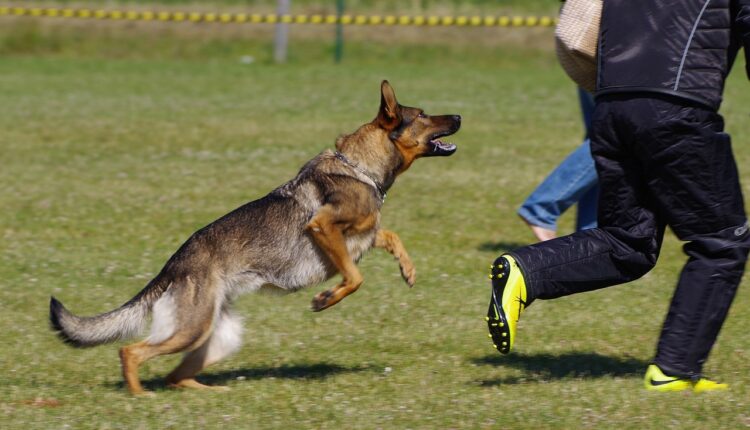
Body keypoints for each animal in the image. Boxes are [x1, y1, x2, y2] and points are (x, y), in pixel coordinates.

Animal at [50, 80, 462, 394]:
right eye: (422, 114)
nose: (459, 116)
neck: (360, 167)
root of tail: (173, 265)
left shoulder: (362, 234)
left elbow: (389, 236)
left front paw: (408, 270)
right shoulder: (324, 227)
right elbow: (355, 277)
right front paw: (325, 299)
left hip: (216, 336)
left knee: (175, 376)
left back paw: (210, 393)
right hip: (191, 328)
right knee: (131, 353)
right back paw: (139, 397)